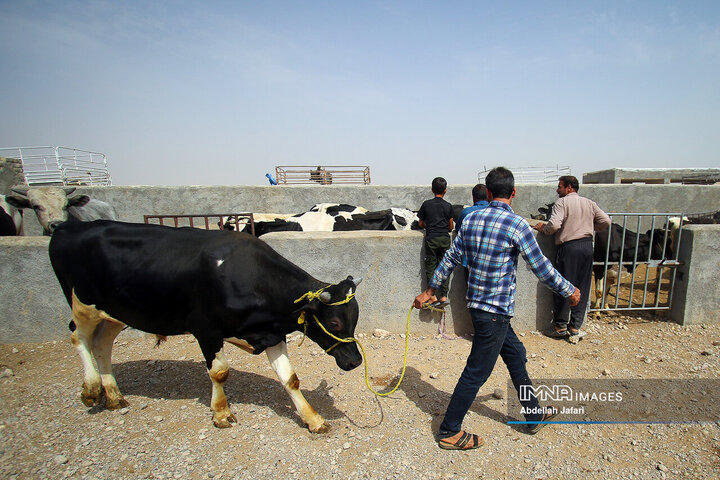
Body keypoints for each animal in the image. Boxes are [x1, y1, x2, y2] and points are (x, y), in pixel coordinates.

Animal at [50, 220, 362, 432]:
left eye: (354, 319)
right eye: (334, 322)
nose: (356, 361)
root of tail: (68, 226)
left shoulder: (271, 333)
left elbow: (290, 378)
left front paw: (313, 419)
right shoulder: (206, 330)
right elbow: (220, 372)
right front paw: (221, 413)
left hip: (117, 311)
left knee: (102, 344)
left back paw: (114, 395)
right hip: (82, 304)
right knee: (78, 337)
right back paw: (92, 388)